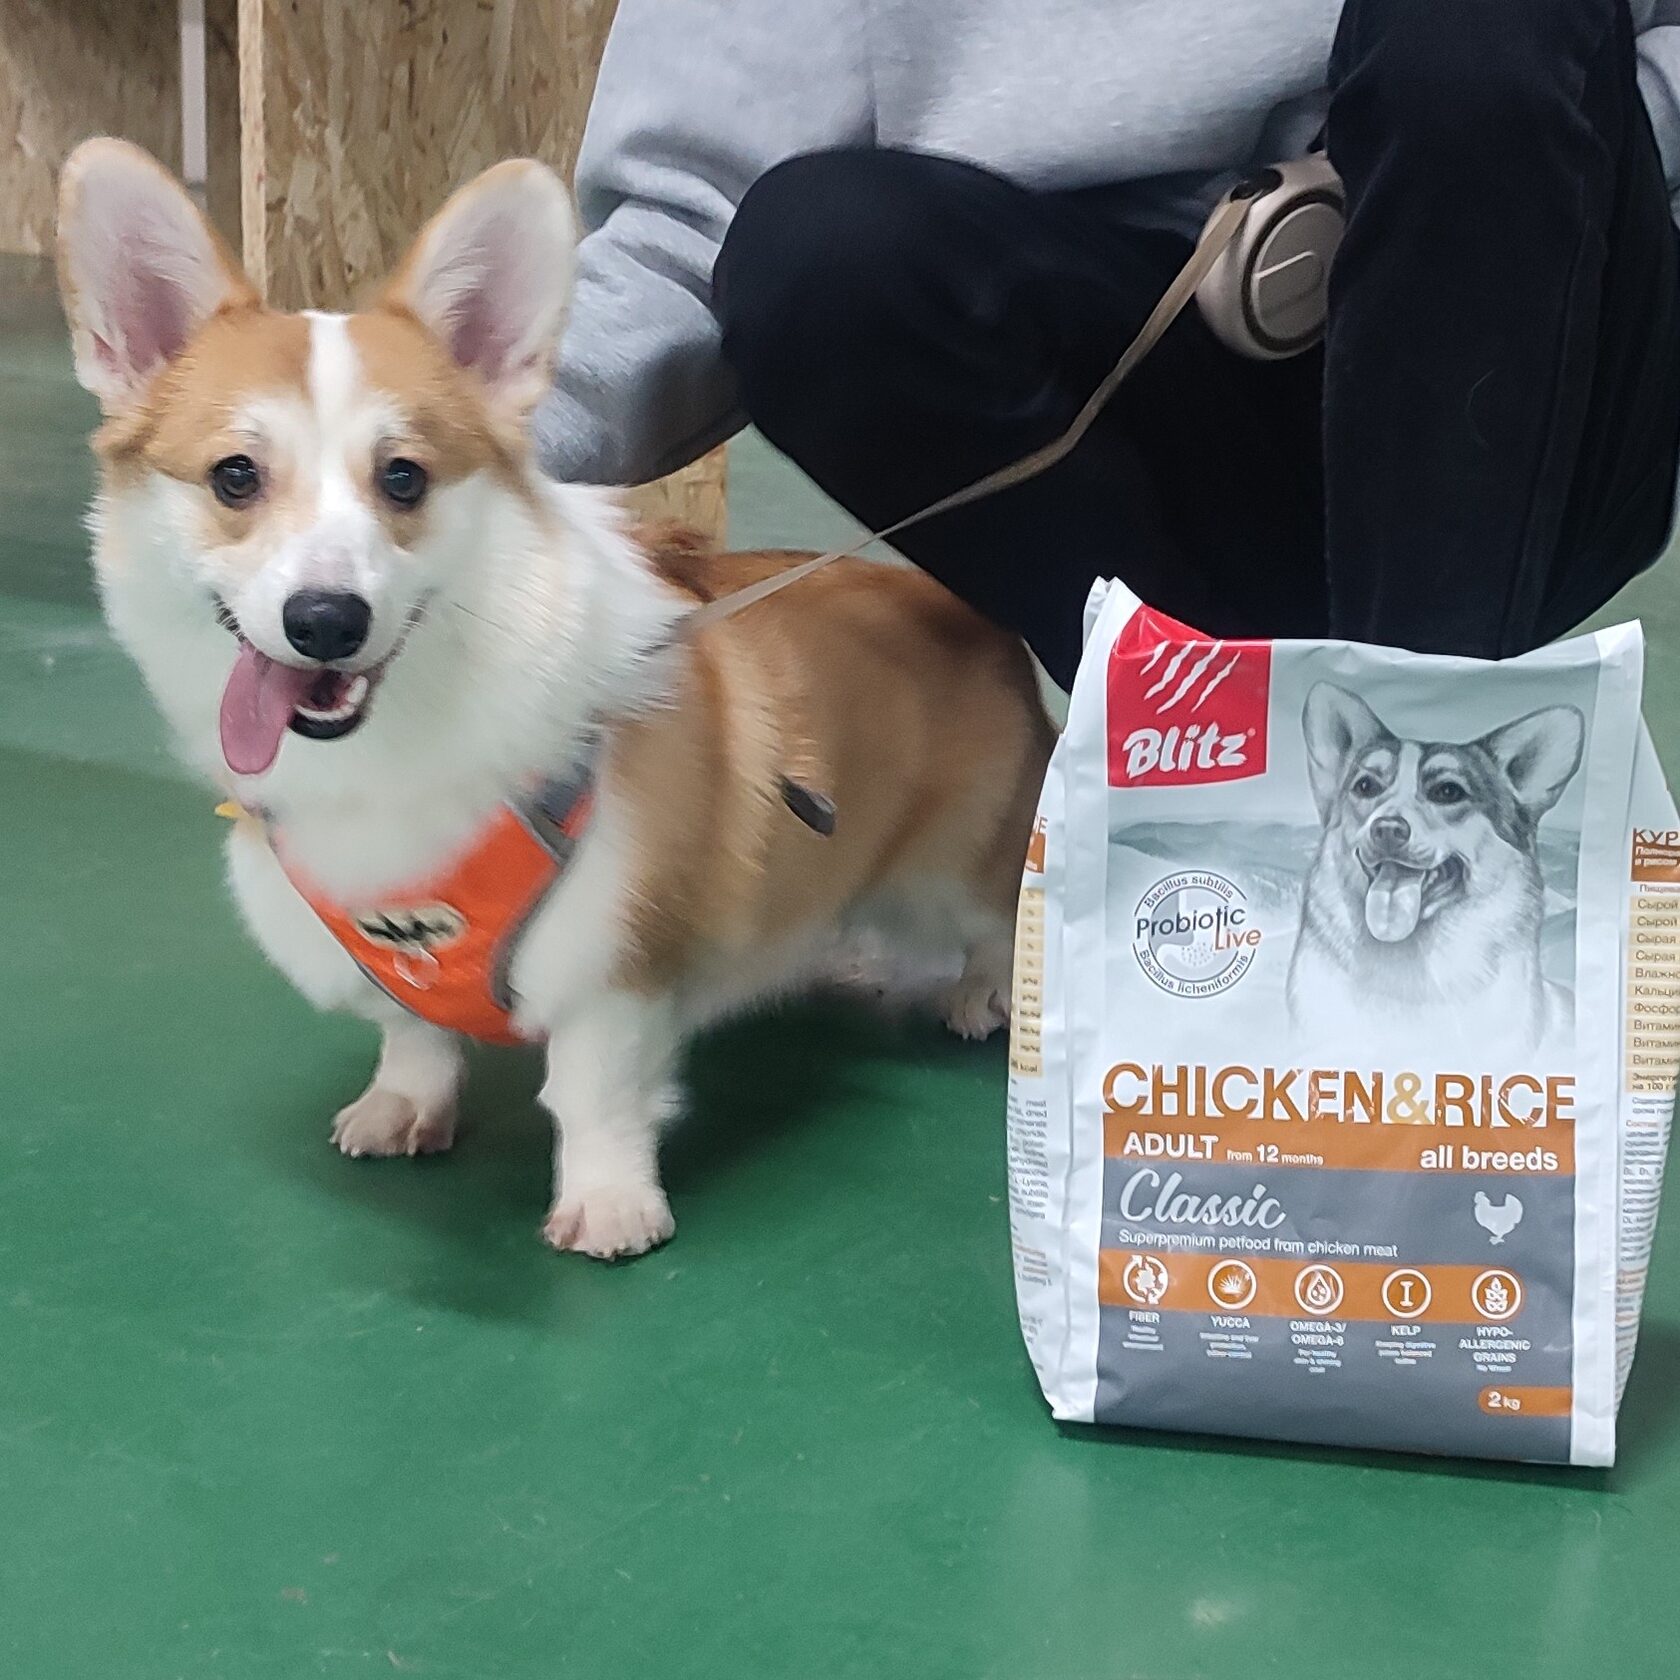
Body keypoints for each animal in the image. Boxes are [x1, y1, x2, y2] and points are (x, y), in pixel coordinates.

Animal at [56, 141, 1054, 1258]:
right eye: (235, 476)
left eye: (403, 479)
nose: (326, 620)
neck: (394, 749)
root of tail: (968, 611)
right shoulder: (394, 955)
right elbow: (411, 1032)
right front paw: (403, 1108)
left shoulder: (616, 968)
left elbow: (593, 1093)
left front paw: (611, 1206)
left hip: (964, 865)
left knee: (1002, 919)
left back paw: (983, 992)